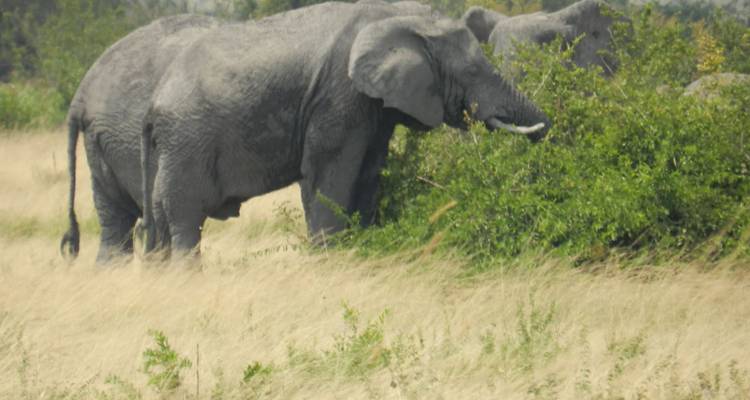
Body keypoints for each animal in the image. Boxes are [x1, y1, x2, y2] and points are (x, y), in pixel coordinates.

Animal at [61, 1, 550, 263]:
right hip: (183, 142)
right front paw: (330, 259)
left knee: (129, 224)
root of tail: (81, 92)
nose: (545, 130)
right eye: (474, 70)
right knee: (181, 219)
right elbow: (329, 178)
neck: (400, 15)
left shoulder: (370, 108)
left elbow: (367, 176)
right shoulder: (337, 97)